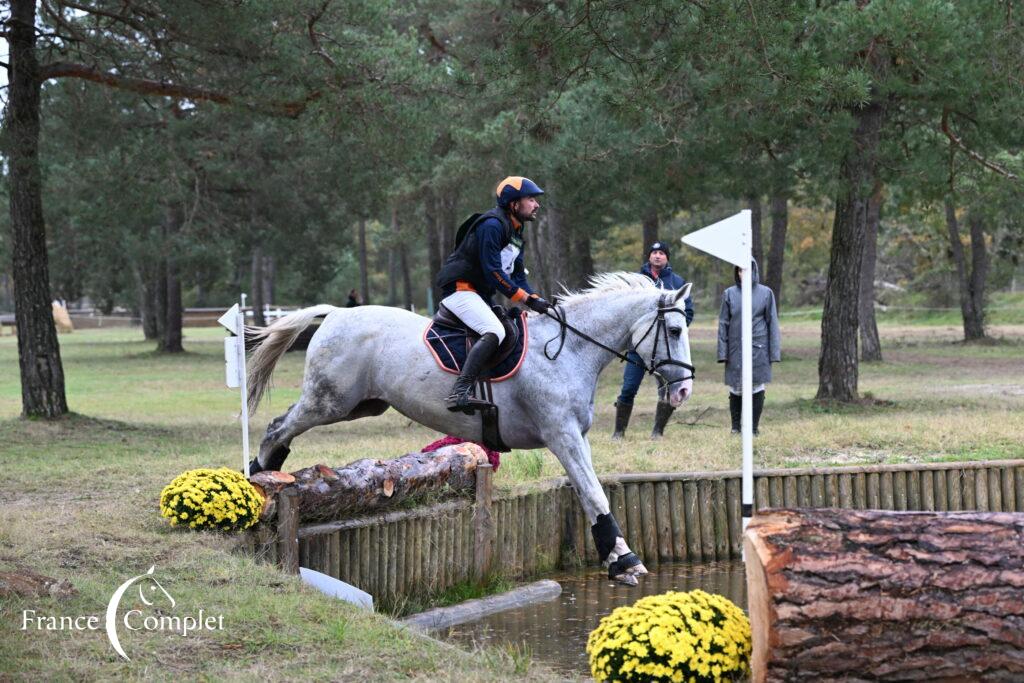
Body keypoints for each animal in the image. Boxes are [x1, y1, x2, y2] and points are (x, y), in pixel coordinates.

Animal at [243, 270, 692, 581]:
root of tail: (338, 312)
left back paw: (265, 473)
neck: (568, 351)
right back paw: (260, 473)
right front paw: (625, 560)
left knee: (284, 425)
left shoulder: (574, 437)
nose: (684, 389)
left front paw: (616, 557)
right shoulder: (561, 436)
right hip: (330, 401)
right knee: (278, 426)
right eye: (673, 330)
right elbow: (594, 493)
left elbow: (589, 492)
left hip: (361, 405)